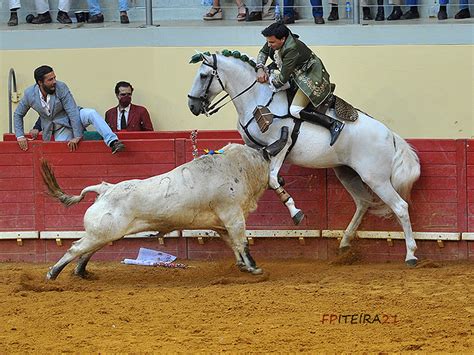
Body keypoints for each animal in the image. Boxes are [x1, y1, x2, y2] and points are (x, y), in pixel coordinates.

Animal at [187, 51, 420, 266]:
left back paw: (410, 255)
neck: (257, 97)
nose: (192, 106)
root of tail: (390, 135)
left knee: (400, 207)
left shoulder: (283, 143)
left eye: (203, 75)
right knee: (363, 202)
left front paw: (296, 212)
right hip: (347, 173)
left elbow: (273, 179)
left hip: (376, 179)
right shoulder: (254, 148)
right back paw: (344, 244)